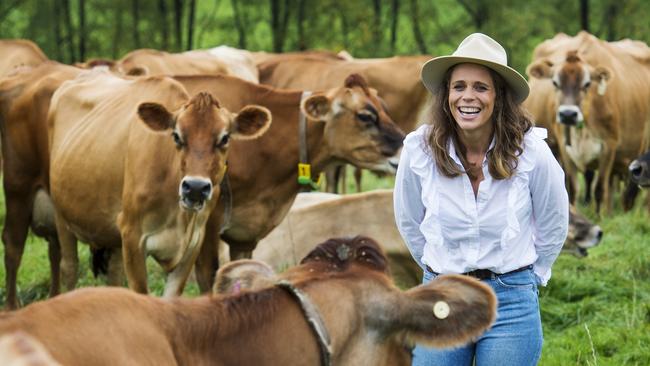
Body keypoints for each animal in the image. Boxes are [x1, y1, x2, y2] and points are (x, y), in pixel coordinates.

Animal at [48, 70, 270, 296]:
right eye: (176, 136)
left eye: (225, 138)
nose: (195, 187)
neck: (179, 217)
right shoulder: (133, 235)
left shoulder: (193, 243)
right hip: (61, 215)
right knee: (69, 268)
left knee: (114, 273)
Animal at [524, 32, 648, 214]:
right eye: (555, 83)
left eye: (587, 84)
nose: (568, 115)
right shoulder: (565, 149)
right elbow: (572, 188)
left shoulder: (609, 147)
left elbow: (600, 189)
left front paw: (600, 216)